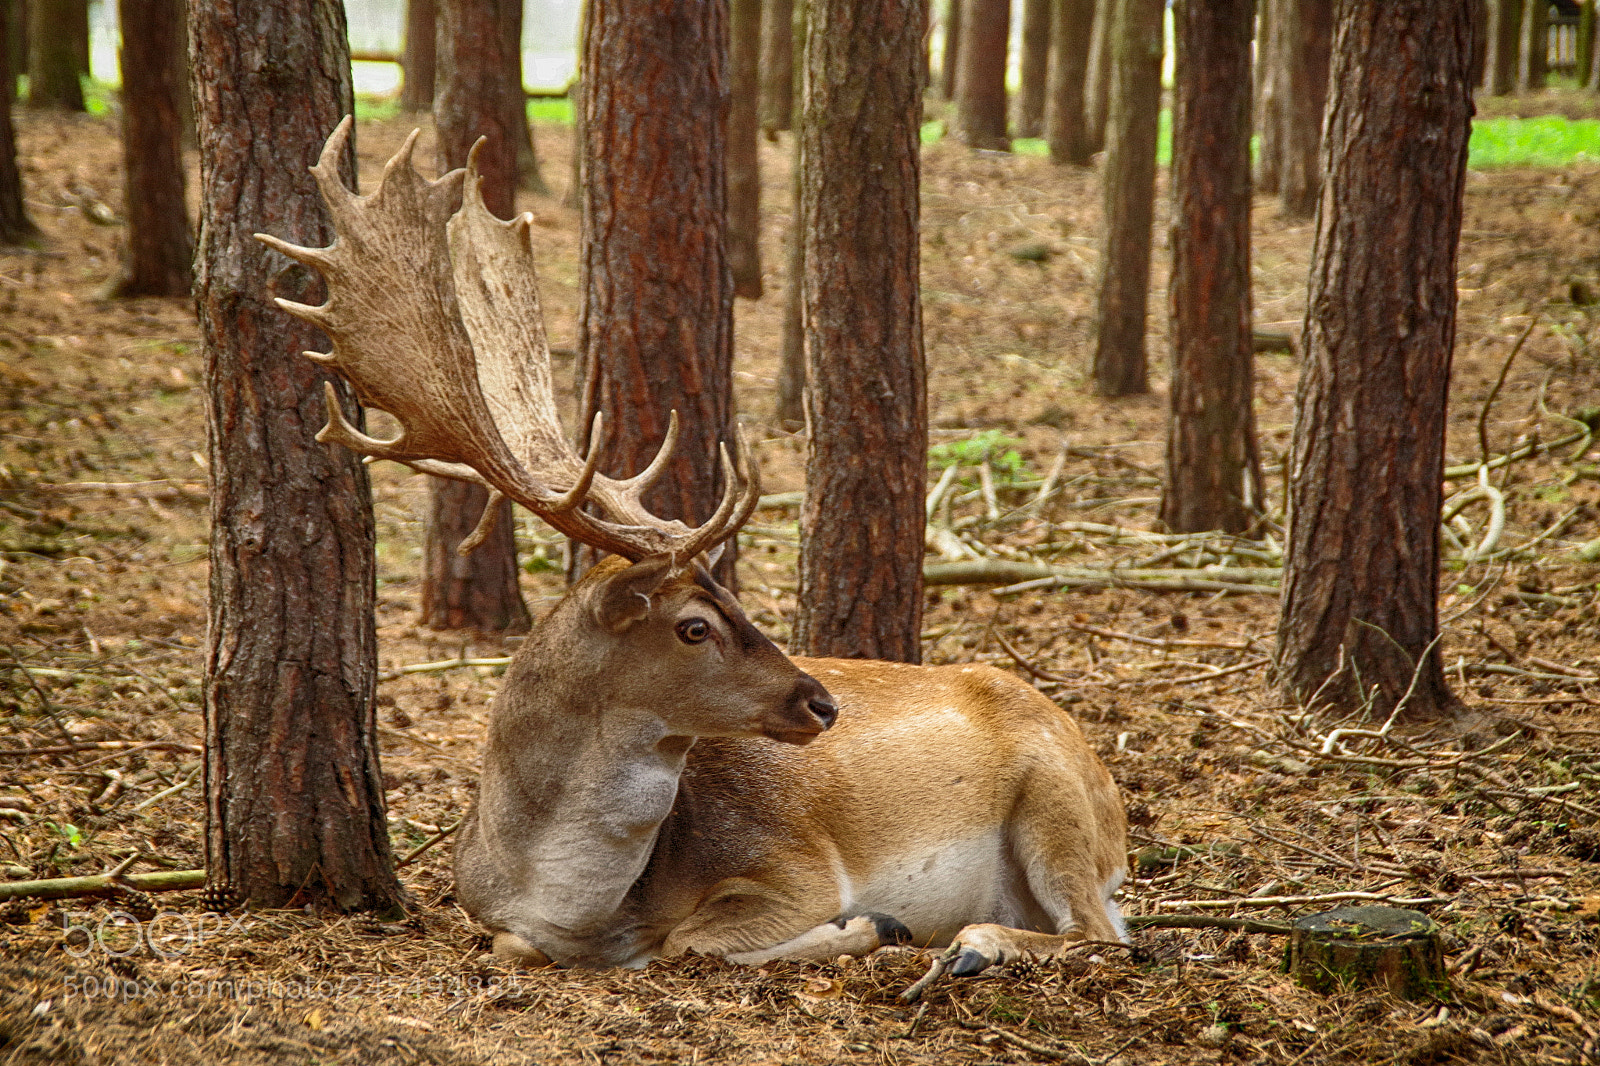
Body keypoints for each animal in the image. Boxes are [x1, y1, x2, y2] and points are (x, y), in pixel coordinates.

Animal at [257, 118, 1129, 984]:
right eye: (694, 624)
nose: (822, 702)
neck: (565, 901)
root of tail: (1111, 793)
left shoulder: (796, 863)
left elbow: (690, 940)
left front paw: (872, 924)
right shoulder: (492, 914)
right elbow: (527, 944)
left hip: (1055, 799)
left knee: (1106, 935)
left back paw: (974, 944)